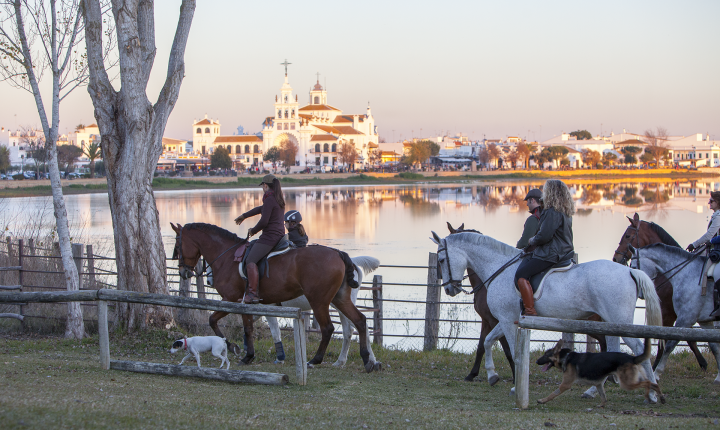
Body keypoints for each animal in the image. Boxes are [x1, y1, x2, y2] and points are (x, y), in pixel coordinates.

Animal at [171, 223, 382, 372]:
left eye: (178, 245)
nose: (183, 272)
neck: (228, 257)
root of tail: (339, 254)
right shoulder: (255, 305)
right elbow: (262, 330)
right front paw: (252, 353)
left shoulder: (233, 300)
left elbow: (221, 322)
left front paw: (238, 350)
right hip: (339, 300)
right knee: (359, 322)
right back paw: (365, 361)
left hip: (319, 301)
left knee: (331, 328)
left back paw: (317, 360)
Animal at [536, 338, 664, 404]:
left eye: (545, 355)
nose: (536, 361)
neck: (566, 357)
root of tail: (632, 358)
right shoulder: (598, 384)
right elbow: (603, 398)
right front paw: (601, 406)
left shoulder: (565, 385)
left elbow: (553, 393)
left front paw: (542, 400)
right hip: (633, 380)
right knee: (654, 384)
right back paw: (661, 398)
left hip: (627, 383)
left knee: (648, 383)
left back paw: (648, 396)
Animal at [612, 212, 708, 370]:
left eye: (627, 236)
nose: (616, 257)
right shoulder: (682, 313)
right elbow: (687, 337)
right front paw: (703, 362)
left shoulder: (670, 312)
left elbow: (666, 338)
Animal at [632, 244, 720, 384]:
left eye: (634, 267)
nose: (640, 294)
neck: (687, 275)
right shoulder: (705, 322)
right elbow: (715, 347)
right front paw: (718, 377)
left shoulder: (685, 319)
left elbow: (669, 344)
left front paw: (657, 373)